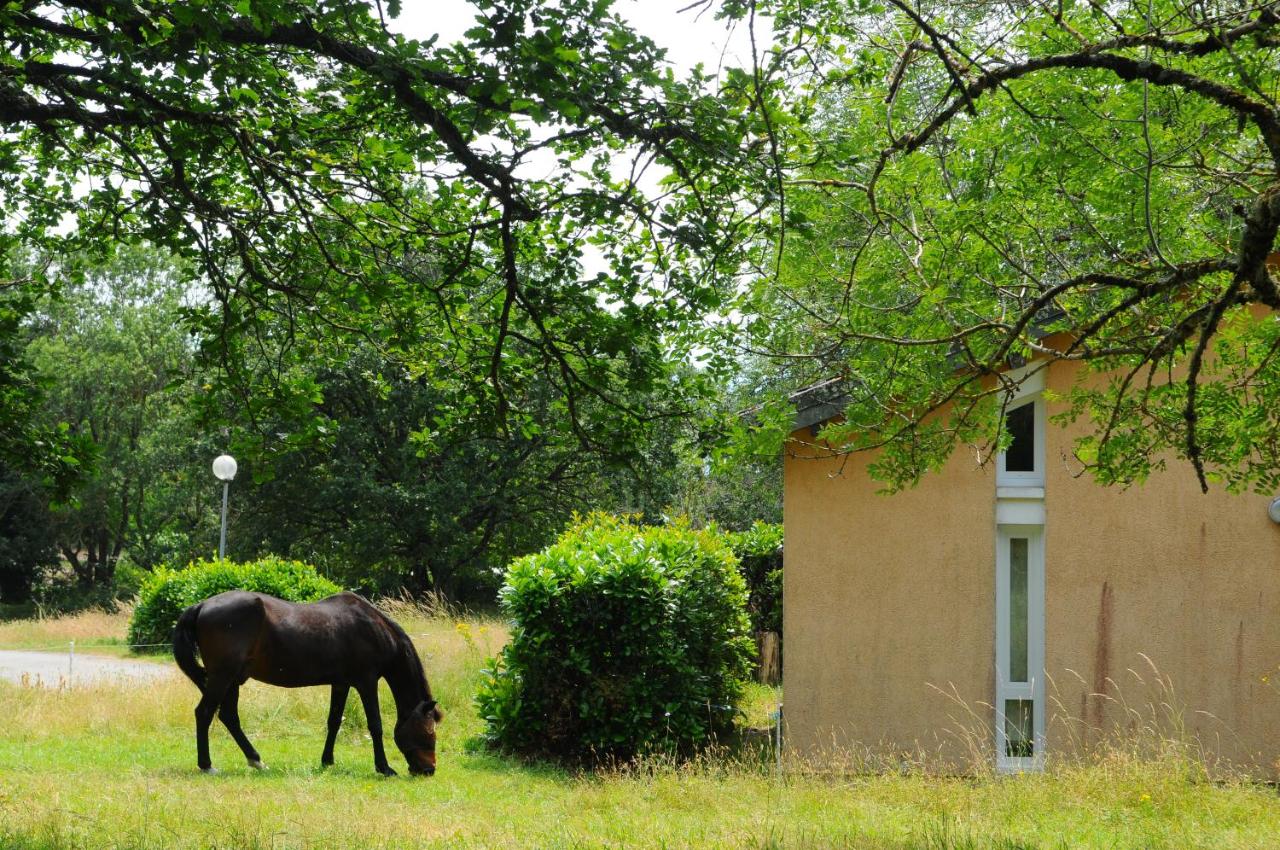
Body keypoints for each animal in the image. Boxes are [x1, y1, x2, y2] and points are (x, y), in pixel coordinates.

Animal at [172, 591, 445, 778]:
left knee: (229, 717)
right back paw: (207, 765)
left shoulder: (341, 684)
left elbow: (334, 721)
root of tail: (201, 605)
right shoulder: (366, 682)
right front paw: (384, 767)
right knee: (205, 713)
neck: (373, 628)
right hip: (222, 676)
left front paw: (327, 760)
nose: (429, 769)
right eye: (429, 732)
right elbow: (375, 725)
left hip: (233, 680)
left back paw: (256, 760)